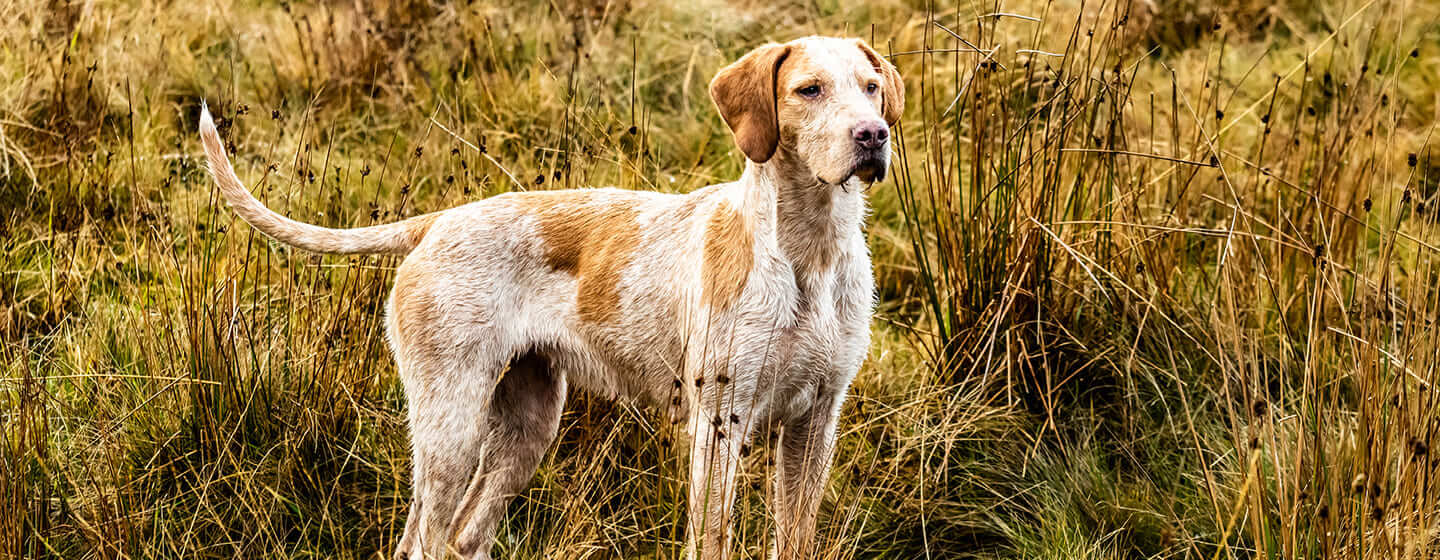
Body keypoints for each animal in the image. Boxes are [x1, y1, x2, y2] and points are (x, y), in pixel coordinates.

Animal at [198, 34, 904, 558]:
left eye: (871, 87)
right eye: (808, 90)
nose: (872, 134)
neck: (811, 253)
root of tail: (437, 223)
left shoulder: (814, 425)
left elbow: (797, 534)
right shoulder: (719, 424)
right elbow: (711, 538)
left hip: (527, 426)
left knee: (463, 538)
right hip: (451, 430)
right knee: (422, 541)